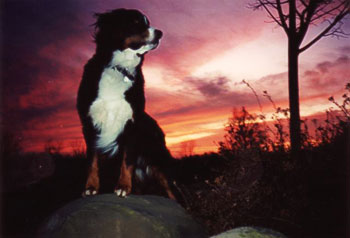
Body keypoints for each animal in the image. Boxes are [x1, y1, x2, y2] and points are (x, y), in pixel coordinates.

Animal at [76, 8, 175, 199]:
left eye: (147, 22)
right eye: (135, 22)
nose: (160, 33)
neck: (119, 68)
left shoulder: (131, 123)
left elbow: (126, 160)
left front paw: (123, 186)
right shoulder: (89, 123)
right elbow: (92, 160)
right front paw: (90, 187)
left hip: (158, 161)